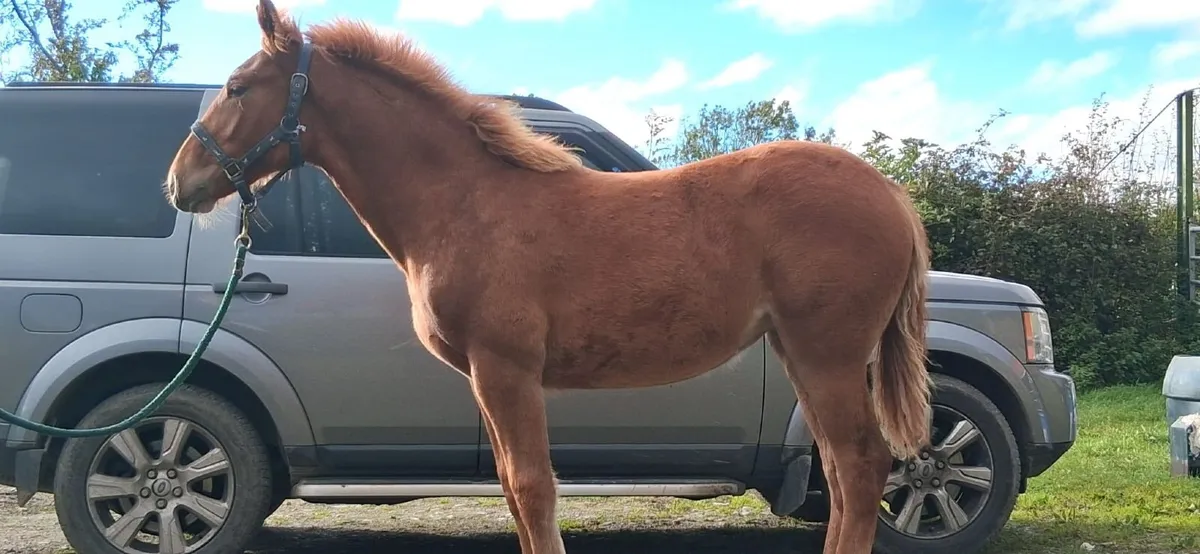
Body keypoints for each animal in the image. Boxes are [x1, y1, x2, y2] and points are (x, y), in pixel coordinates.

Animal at [163, 2, 933, 553]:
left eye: (237, 87)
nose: (178, 183)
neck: (464, 201)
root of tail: (891, 194)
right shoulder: (489, 377)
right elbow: (513, 488)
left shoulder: (505, 368)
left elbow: (533, 488)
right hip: (805, 354)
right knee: (841, 471)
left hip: (827, 354)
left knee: (861, 466)